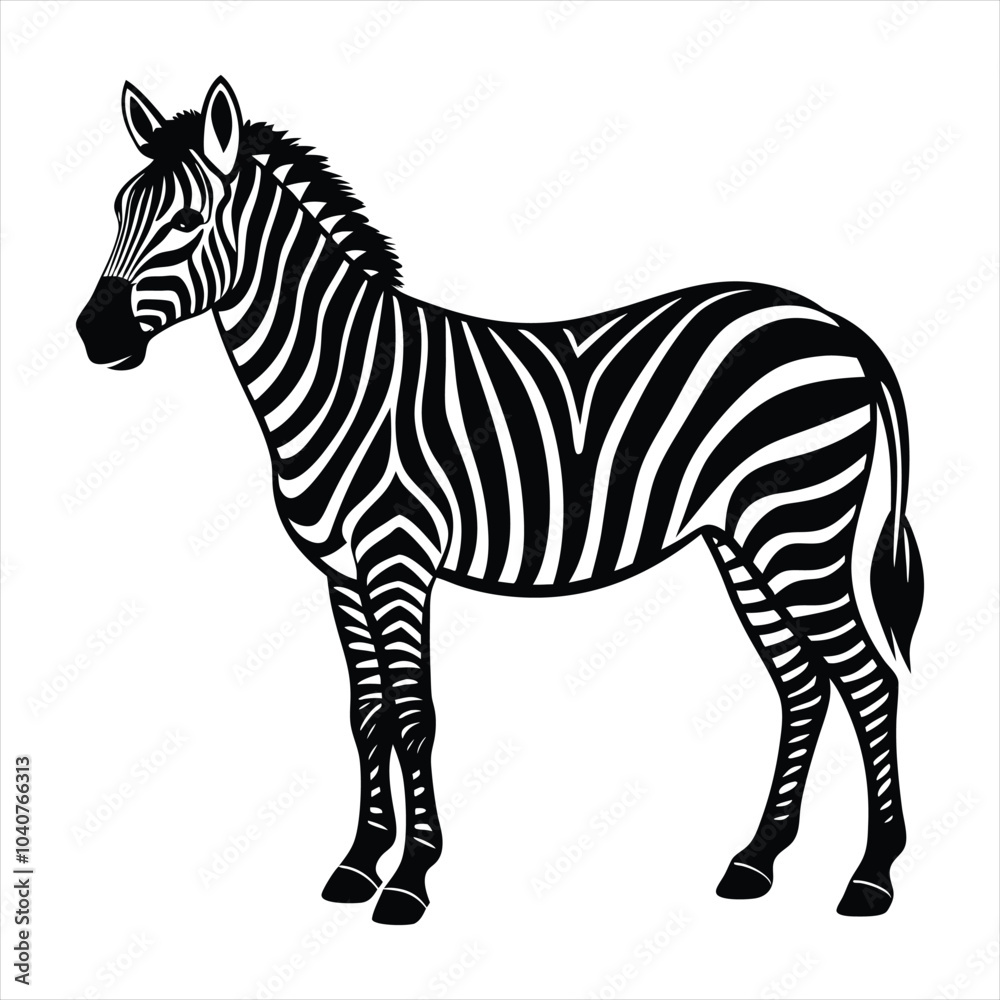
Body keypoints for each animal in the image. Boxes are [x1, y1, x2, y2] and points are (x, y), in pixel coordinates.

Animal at [77, 78, 924, 924]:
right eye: (117, 209)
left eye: (188, 220)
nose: (92, 335)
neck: (341, 373)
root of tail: (833, 323)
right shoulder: (342, 572)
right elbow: (365, 716)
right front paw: (358, 864)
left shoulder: (397, 556)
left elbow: (412, 717)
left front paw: (409, 879)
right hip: (744, 540)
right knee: (803, 685)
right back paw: (756, 861)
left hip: (799, 531)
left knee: (868, 680)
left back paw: (872, 875)